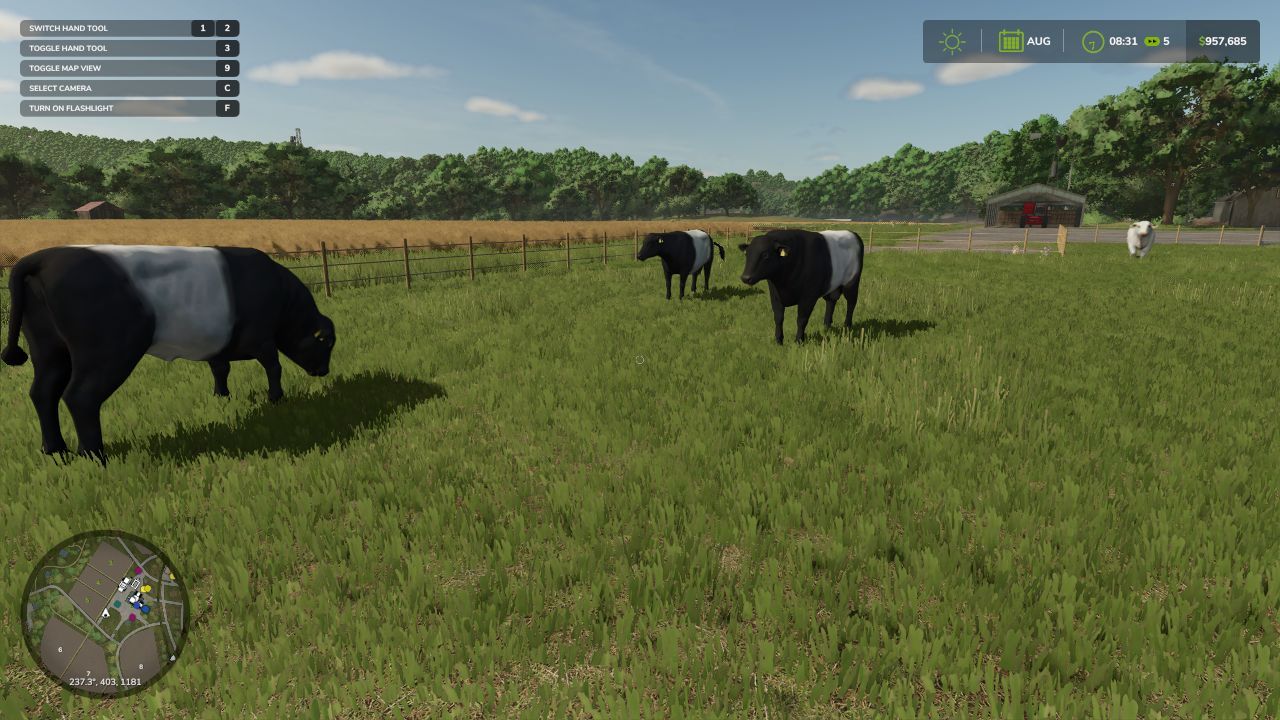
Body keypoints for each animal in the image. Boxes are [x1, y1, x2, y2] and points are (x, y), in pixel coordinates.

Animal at [2, 245, 336, 464]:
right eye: (328, 342)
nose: (324, 372)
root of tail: (43, 257)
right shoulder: (263, 338)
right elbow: (273, 366)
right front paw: (276, 398)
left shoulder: (217, 344)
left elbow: (220, 369)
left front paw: (221, 397)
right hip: (106, 352)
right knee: (79, 396)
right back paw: (94, 455)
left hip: (49, 350)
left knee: (43, 392)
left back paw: (55, 450)